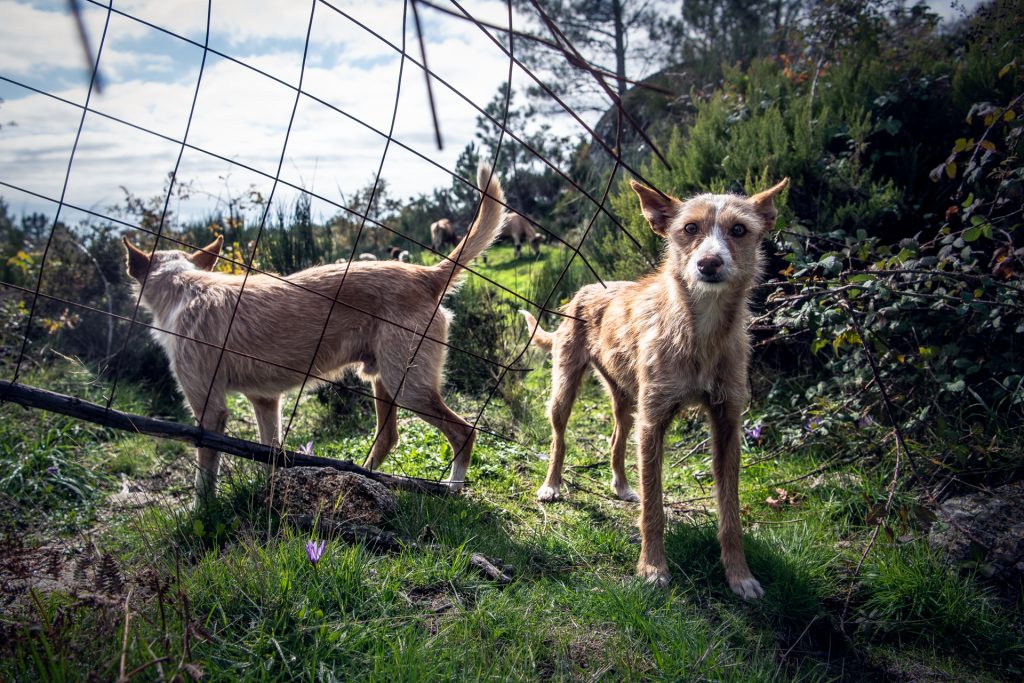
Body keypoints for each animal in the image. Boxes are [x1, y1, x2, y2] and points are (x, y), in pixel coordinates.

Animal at [126, 160, 507, 501]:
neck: (186, 287)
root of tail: (424, 275)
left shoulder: (209, 409)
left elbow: (204, 478)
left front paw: (200, 513)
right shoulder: (265, 401)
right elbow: (270, 452)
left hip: (408, 387)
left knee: (465, 432)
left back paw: (453, 488)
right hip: (384, 380)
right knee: (389, 437)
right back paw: (364, 478)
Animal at [524, 178, 786, 598]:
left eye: (739, 230)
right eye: (690, 228)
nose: (708, 263)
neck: (699, 330)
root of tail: (583, 290)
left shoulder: (726, 423)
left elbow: (730, 513)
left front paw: (739, 575)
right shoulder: (654, 423)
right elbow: (654, 508)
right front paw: (651, 568)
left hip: (627, 400)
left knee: (615, 437)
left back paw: (620, 484)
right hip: (564, 390)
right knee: (558, 439)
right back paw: (552, 485)